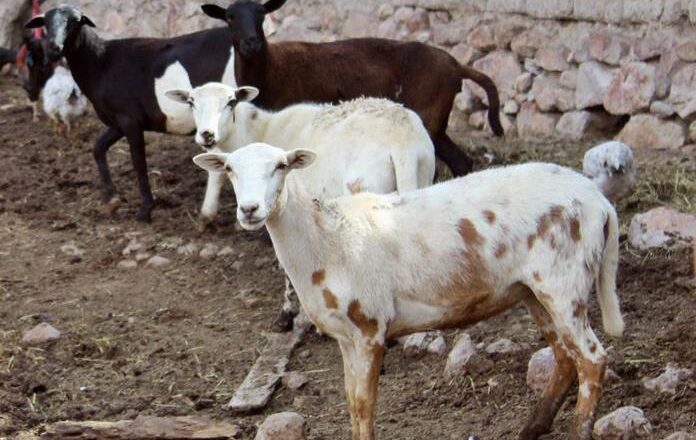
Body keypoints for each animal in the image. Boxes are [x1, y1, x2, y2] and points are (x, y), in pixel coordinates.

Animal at [26, 6, 238, 222]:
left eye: (75, 22)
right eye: (46, 22)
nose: (54, 49)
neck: (101, 64)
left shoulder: (130, 121)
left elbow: (138, 162)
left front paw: (145, 210)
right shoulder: (119, 122)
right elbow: (98, 149)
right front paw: (111, 201)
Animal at [169, 83, 436, 330]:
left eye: (231, 102)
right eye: (191, 102)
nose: (207, 135)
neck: (262, 130)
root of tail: (402, 143)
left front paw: (287, 315)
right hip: (422, 180)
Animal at [193, 143, 624, 440]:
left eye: (281, 166)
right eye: (229, 169)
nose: (249, 210)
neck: (326, 240)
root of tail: (599, 201)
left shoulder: (370, 327)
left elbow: (365, 403)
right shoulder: (346, 337)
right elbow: (351, 402)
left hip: (564, 281)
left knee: (592, 360)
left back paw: (577, 430)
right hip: (532, 289)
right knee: (564, 358)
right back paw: (531, 429)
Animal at [201, 0, 503, 177]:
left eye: (262, 14)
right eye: (229, 17)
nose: (251, 43)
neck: (271, 68)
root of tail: (456, 66)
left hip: (430, 115)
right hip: (437, 122)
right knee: (462, 163)